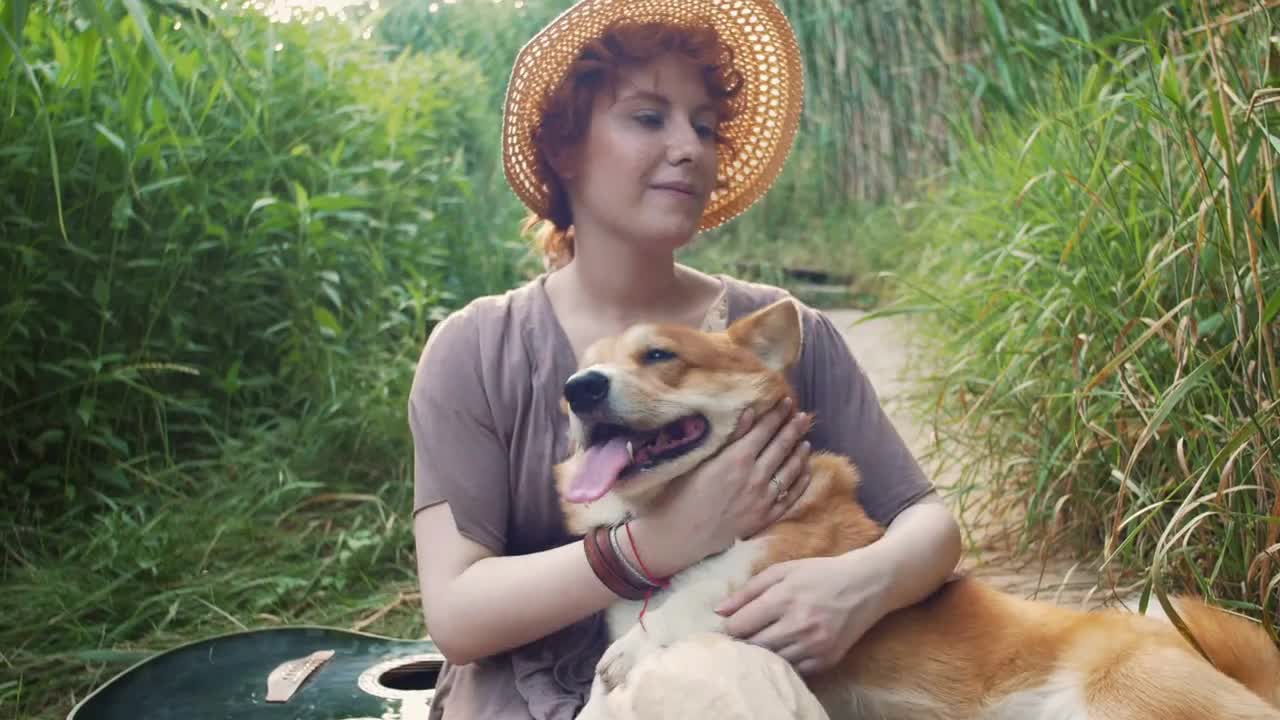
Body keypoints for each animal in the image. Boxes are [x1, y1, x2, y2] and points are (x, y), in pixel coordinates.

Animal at [552, 297, 1280, 717]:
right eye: (585, 368)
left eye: (660, 355)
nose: (577, 389)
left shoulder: (779, 559)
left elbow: (706, 594)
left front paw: (646, 638)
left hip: (1123, 700)